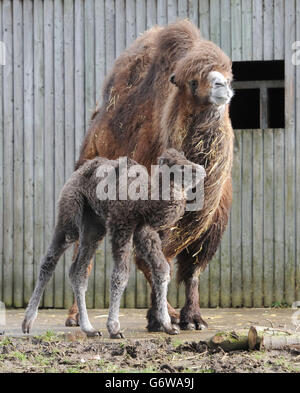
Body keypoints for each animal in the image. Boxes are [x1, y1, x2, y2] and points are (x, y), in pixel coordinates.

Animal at [65, 19, 234, 330]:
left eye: (228, 74)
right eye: (193, 82)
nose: (220, 87)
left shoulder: (212, 223)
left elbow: (192, 270)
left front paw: (193, 319)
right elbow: (153, 263)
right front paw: (159, 318)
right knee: (83, 252)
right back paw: (74, 317)